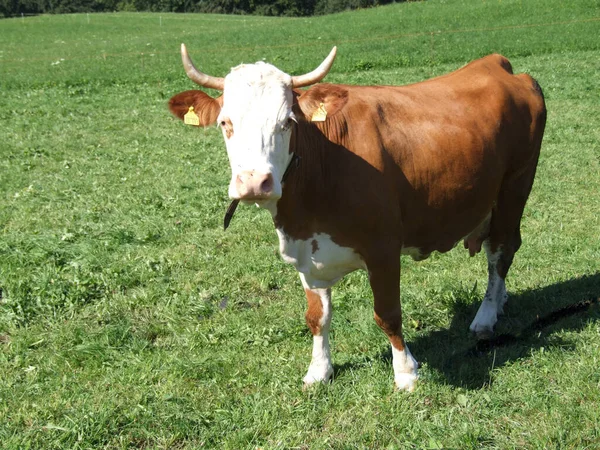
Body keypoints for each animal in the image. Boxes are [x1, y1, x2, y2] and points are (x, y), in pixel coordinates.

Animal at [166, 45, 548, 390]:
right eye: (224, 122)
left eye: (287, 122)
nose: (254, 183)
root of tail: (497, 65)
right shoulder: (306, 249)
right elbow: (317, 318)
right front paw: (319, 371)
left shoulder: (383, 249)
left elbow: (388, 314)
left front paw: (405, 372)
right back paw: (500, 302)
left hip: (514, 188)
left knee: (500, 253)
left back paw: (485, 316)